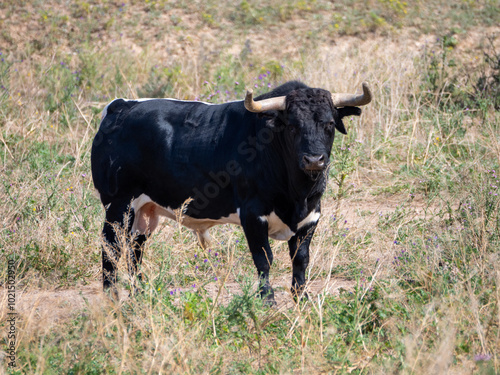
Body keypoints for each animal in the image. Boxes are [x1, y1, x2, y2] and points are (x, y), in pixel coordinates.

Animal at [91, 81, 372, 304]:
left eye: (329, 124)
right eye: (292, 126)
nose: (314, 160)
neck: (297, 196)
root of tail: (121, 106)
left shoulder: (311, 218)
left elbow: (300, 259)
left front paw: (301, 298)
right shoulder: (252, 215)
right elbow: (264, 259)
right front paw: (267, 301)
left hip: (145, 212)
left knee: (135, 251)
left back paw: (141, 294)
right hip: (118, 205)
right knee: (111, 248)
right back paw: (111, 297)